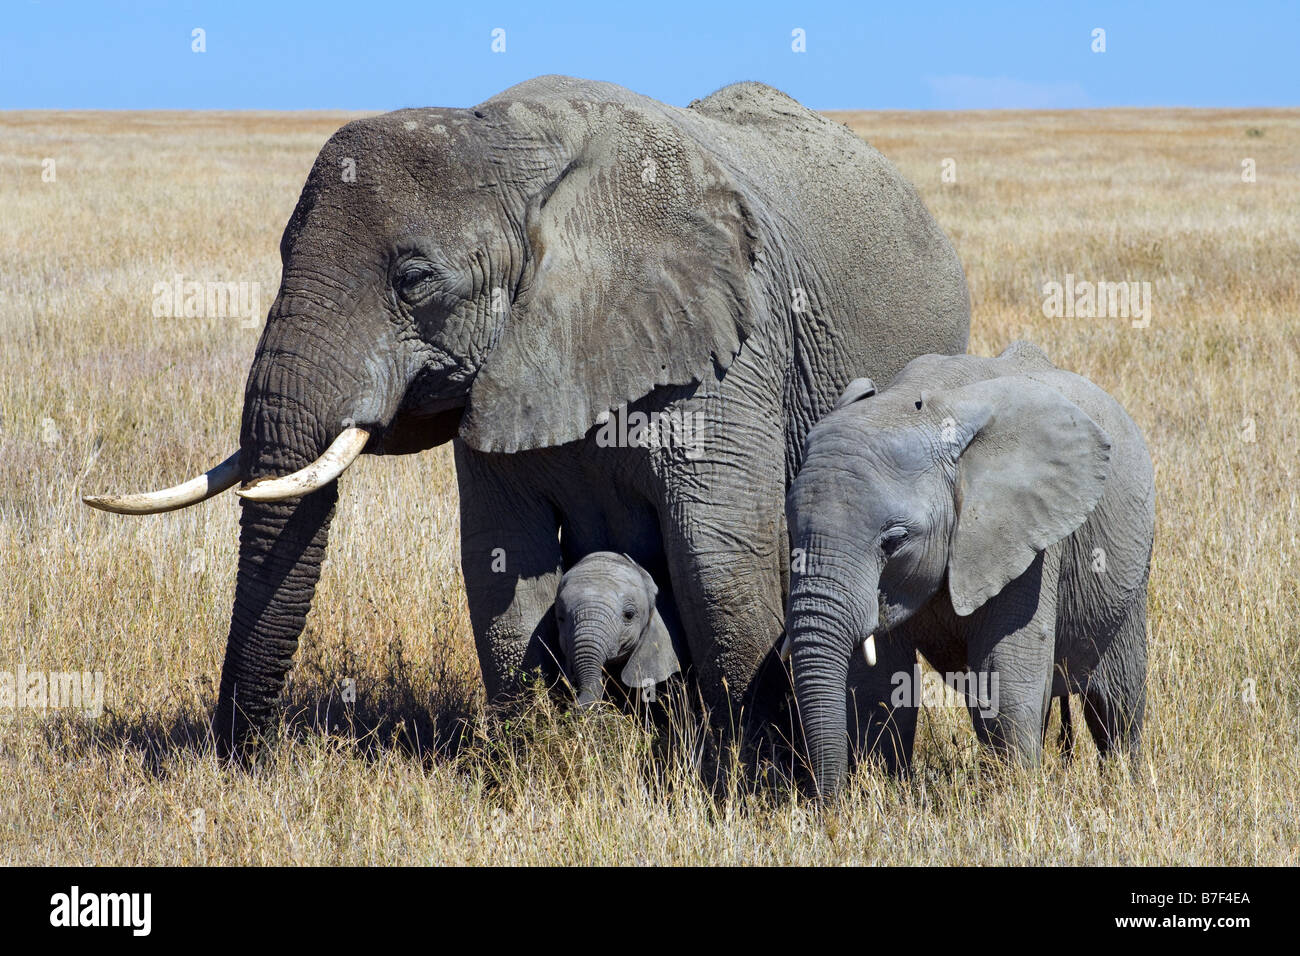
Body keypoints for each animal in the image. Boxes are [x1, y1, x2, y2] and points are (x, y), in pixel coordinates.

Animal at [780, 340, 1159, 796]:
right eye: (790, 529)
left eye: (894, 541)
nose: (826, 804)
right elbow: (878, 682)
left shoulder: (1026, 537)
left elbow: (1004, 677)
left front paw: (1014, 798)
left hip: (1132, 568)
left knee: (1117, 706)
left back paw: (1126, 787)